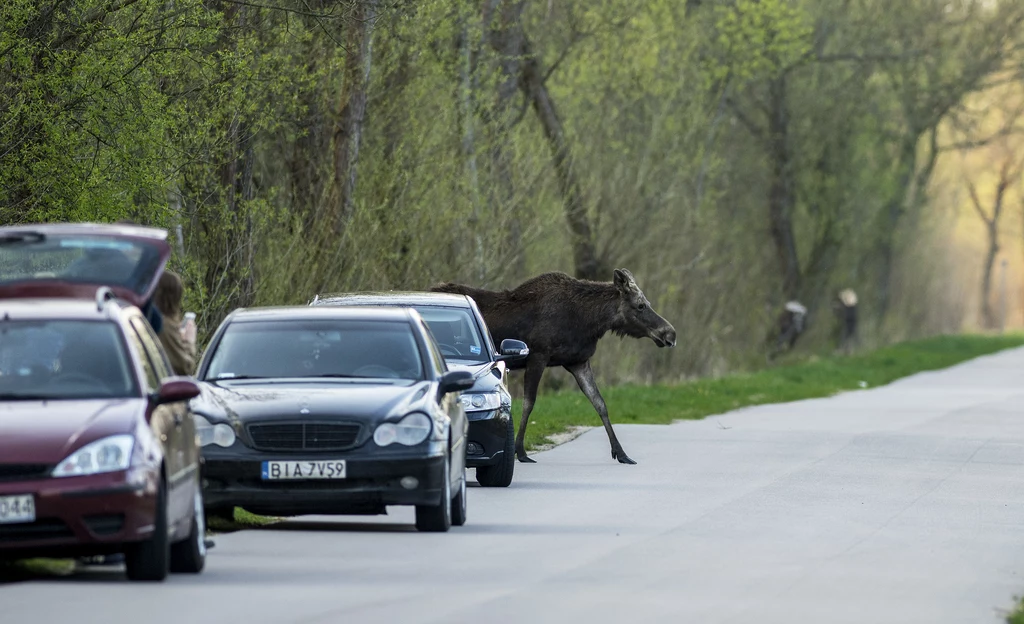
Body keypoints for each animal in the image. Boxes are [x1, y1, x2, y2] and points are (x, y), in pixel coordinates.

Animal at [430, 266, 675, 463]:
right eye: (641, 305)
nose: (670, 333)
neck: (590, 321)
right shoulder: (538, 356)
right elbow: (528, 403)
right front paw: (521, 451)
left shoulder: (578, 361)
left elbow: (599, 403)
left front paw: (621, 453)